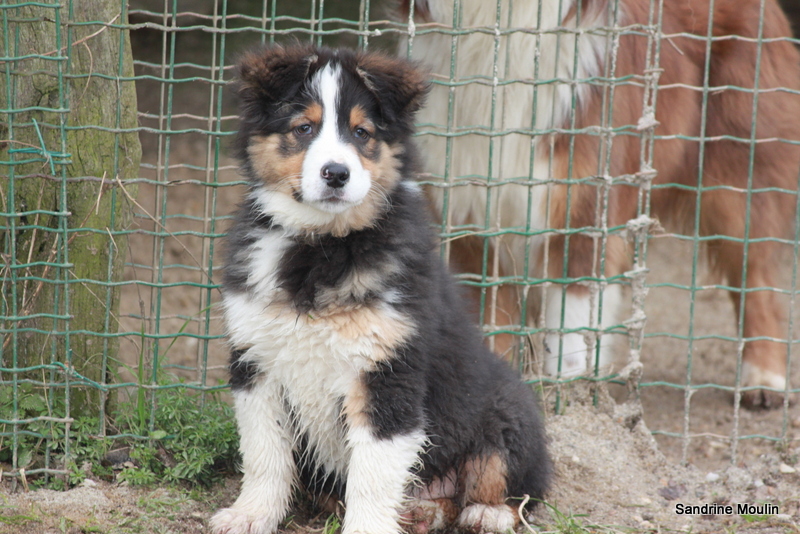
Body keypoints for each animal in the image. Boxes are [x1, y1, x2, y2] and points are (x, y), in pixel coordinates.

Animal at [211, 46, 552, 534]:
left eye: (361, 133)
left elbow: (371, 474)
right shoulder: (256, 362)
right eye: (304, 128)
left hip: (508, 407)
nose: (336, 173)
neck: (324, 247)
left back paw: (486, 512)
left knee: (507, 479)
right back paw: (422, 512)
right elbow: (264, 452)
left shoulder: (387, 373)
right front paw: (251, 514)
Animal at [404, 0, 800, 408]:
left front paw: (569, 399)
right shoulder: (468, 222)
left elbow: (570, 333)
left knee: (755, 278)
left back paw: (763, 378)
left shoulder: (584, 216)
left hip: (738, 182)